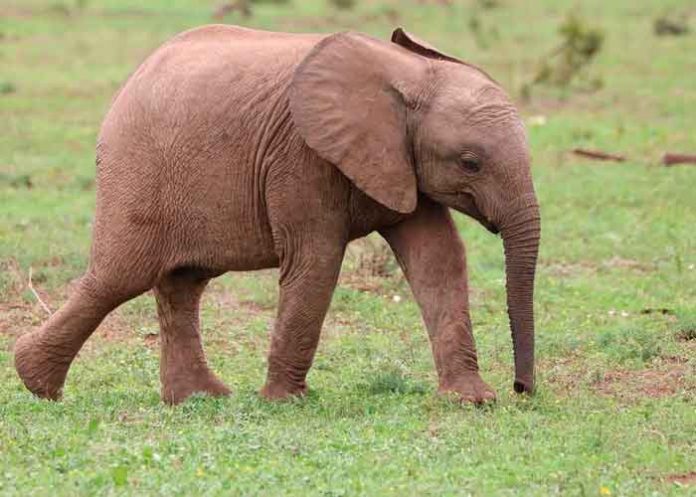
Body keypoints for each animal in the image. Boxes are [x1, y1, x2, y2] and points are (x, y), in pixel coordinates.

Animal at [14, 25, 540, 405]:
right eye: (471, 163)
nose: (522, 390)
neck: (409, 74)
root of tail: (135, 75)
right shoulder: (302, 157)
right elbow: (316, 261)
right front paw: (286, 402)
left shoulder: (400, 163)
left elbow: (439, 259)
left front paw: (472, 401)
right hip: (135, 166)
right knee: (119, 277)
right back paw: (36, 383)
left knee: (182, 284)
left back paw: (200, 398)